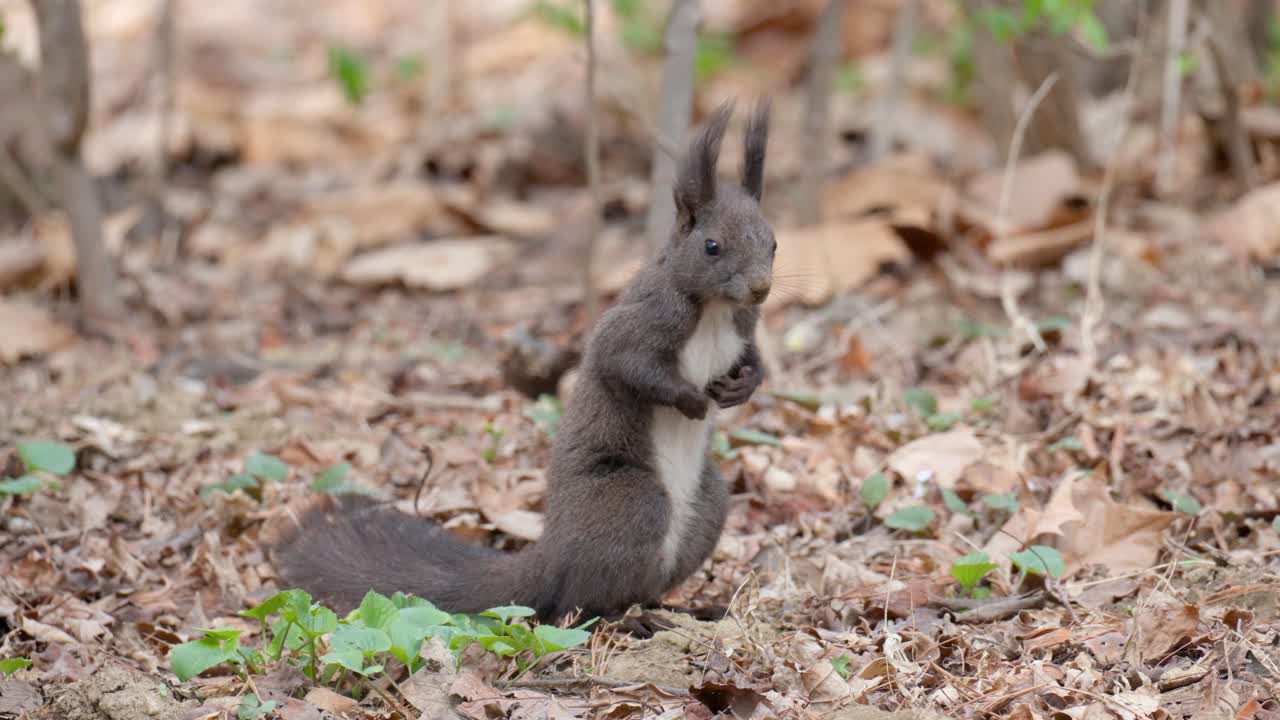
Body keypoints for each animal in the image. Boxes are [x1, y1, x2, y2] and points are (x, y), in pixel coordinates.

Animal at [270, 100, 774, 622]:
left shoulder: (742, 326)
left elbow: (752, 358)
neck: (713, 311)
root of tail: (550, 562)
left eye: (774, 243)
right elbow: (627, 364)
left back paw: (689, 609)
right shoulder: (644, 320)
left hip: (708, 502)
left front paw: (743, 386)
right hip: (633, 503)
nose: (761, 288)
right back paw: (632, 619)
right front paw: (691, 400)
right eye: (712, 246)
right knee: (583, 601)